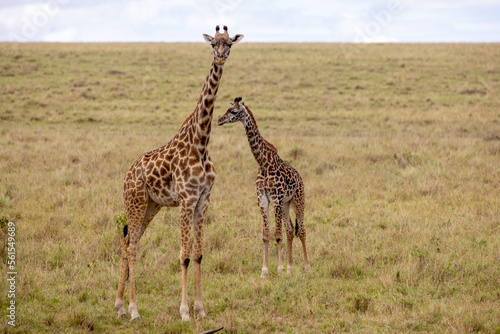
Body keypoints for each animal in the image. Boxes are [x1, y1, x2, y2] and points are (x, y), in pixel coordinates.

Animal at [115, 25, 244, 320]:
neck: (201, 142)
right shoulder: (186, 199)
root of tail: (127, 174)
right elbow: (183, 255)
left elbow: (197, 254)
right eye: (213, 44)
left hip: (151, 206)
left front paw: (200, 309)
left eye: (230, 43)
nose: (221, 58)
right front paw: (184, 312)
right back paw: (134, 310)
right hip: (135, 202)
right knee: (131, 246)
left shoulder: (204, 199)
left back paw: (119, 306)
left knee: (128, 242)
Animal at [218, 96, 310, 276]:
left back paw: (306, 266)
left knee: (301, 230)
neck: (263, 163)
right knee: (290, 230)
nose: (219, 120)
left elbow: (278, 234)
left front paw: (279, 268)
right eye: (227, 110)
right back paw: (290, 268)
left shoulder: (276, 199)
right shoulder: (263, 199)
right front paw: (265, 270)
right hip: (286, 204)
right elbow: (266, 234)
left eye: (233, 111)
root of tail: (300, 177)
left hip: (297, 200)